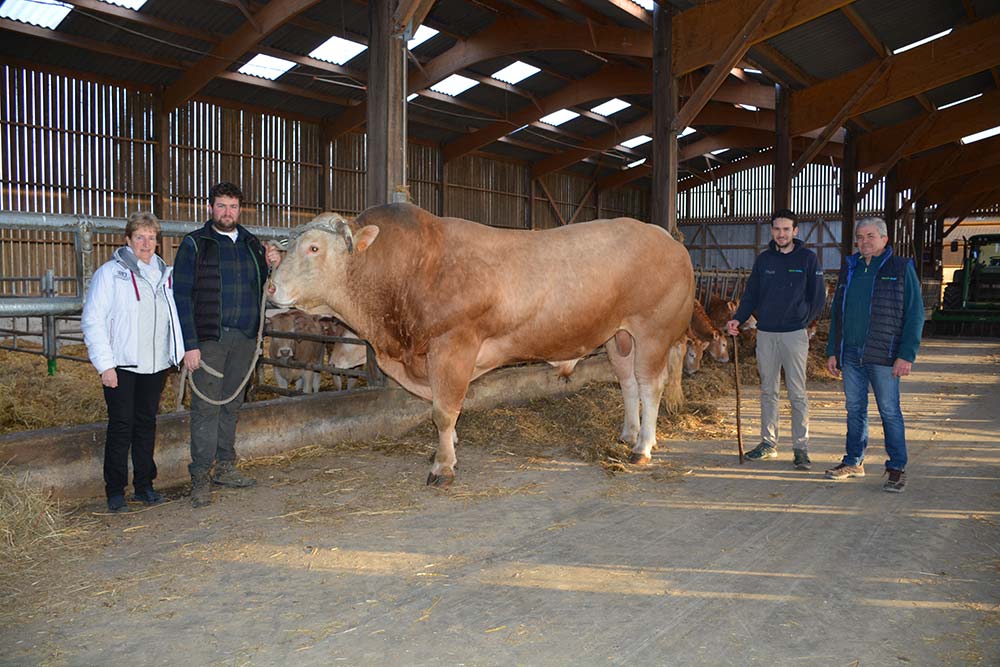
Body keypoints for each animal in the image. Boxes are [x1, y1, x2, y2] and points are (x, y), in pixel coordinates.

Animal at [270, 201, 700, 488]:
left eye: (313, 248)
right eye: (287, 247)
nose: (271, 287)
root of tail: (666, 237)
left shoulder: (454, 345)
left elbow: (443, 410)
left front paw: (443, 466)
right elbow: (441, 407)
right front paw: (446, 451)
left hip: (653, 330)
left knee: (650, 385)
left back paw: (643, 447)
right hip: (617, 336)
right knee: (628, 383)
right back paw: (628, 432)